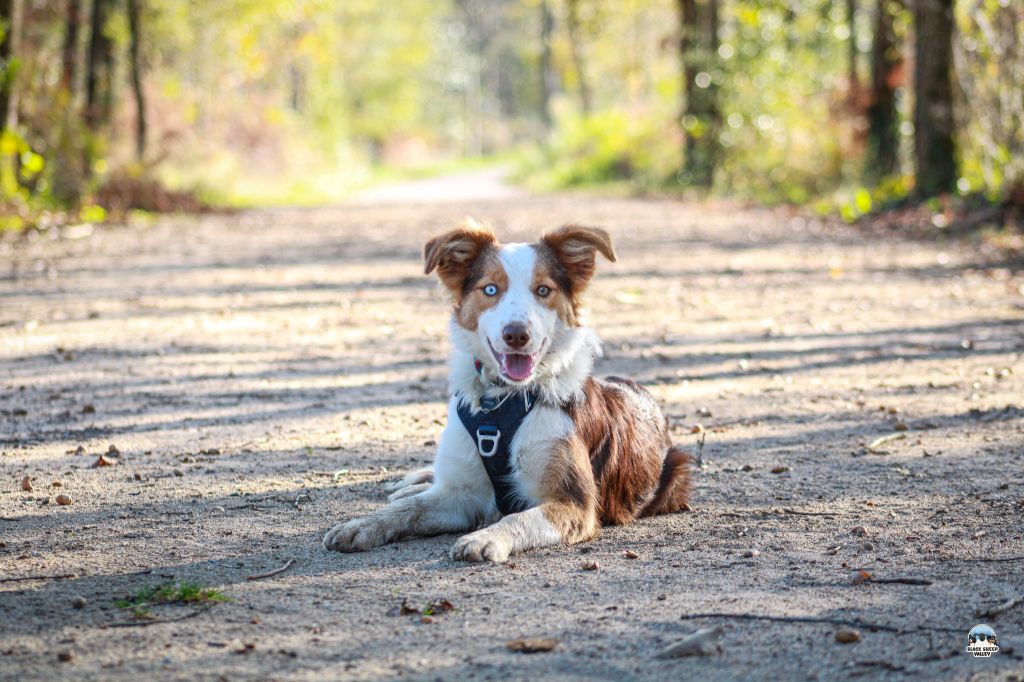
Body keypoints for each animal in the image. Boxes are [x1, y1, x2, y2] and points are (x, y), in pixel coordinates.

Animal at [323, 220, 692, 561]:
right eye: (490, 289)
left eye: (543, 290)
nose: (516, 334)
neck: (502, 402)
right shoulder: (459, 495)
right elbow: (407, 510)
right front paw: (362, 524)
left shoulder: (573, 503)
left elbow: (518, 518)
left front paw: (485, 538)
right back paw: (411, 483)